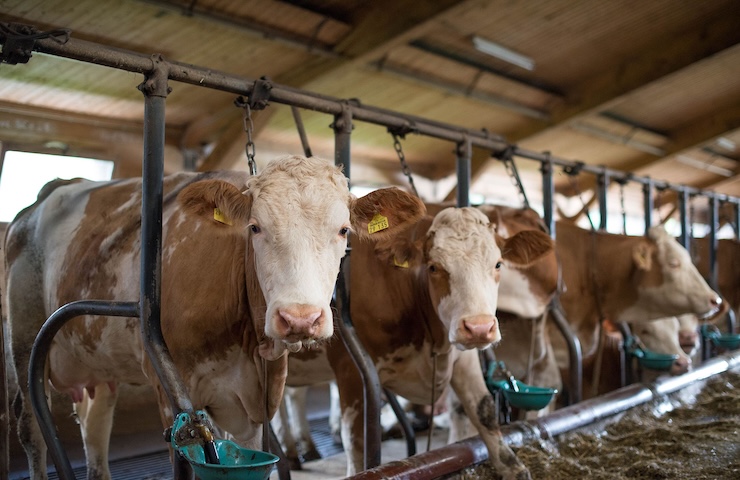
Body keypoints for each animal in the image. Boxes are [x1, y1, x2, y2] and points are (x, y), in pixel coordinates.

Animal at [4, 156, 428, 478]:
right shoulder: (171, 394)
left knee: (95, 427)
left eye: (343, 231)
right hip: (24, 342)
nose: (299, 319)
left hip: (97, 360)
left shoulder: (248, 404)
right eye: (255, 227)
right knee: (31, 429)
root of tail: (50, 193)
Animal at [278, 204, 556, 478]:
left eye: (498, 264)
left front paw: (514, 468)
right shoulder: (350, 369)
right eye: (434, 267)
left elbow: (483, 410)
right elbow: (356, 440)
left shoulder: (462, 356)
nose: (479, 328)